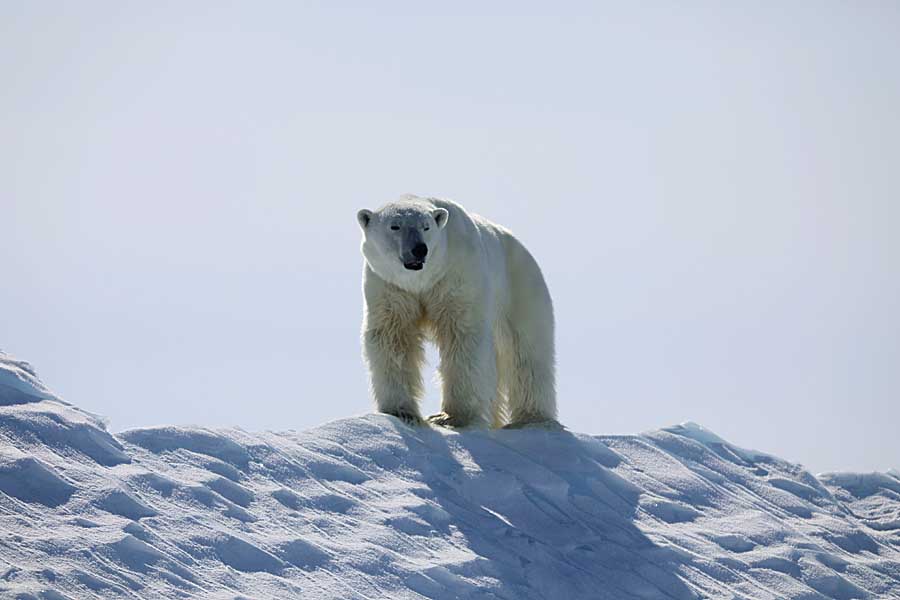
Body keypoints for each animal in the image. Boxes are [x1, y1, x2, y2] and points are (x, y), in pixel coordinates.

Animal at [356, 195, 556, 428]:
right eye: (395, 226)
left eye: (426, 227)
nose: (419, 249)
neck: (422, 280)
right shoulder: (390, 286)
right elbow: (392, 336)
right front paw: (401, 412)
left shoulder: (456, 273)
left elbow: (461, 333)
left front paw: (451, 417)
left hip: (520, 287)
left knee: (526, 352)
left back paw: (531, 418)